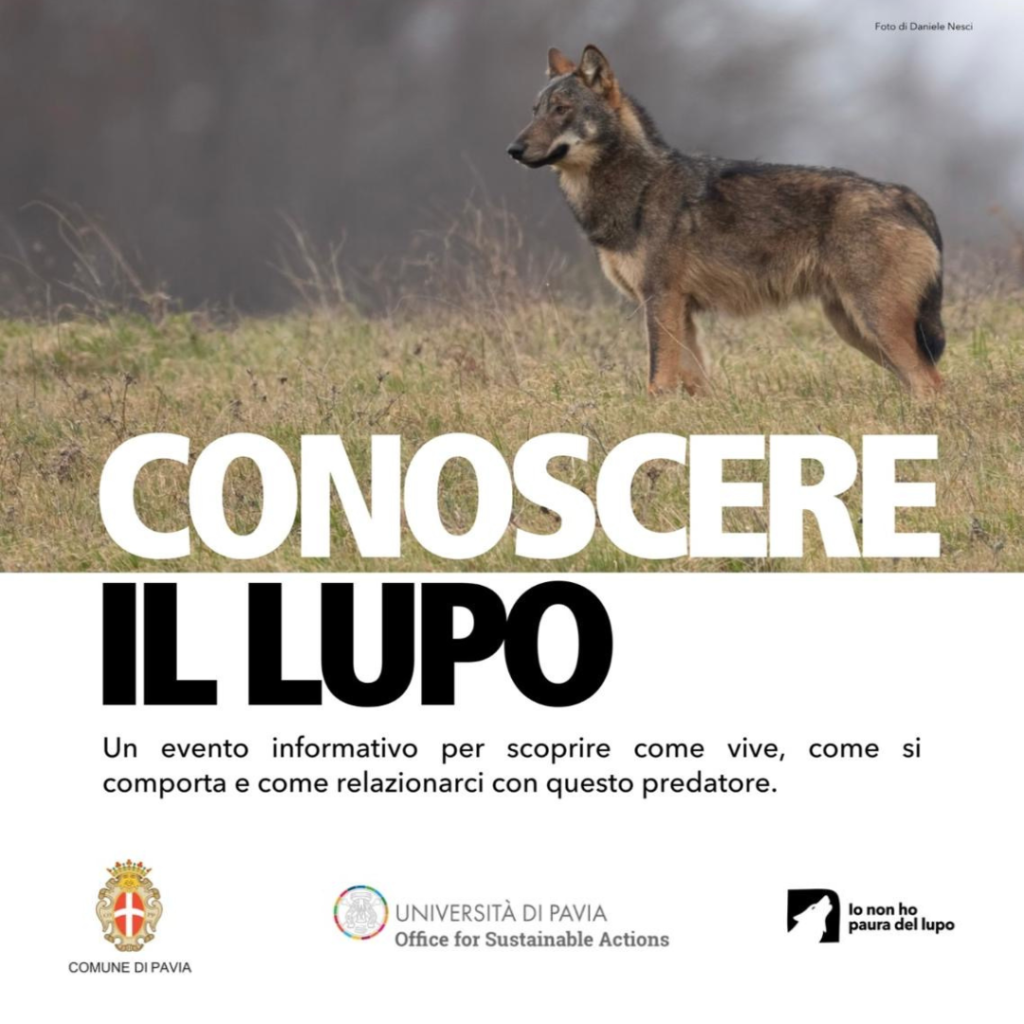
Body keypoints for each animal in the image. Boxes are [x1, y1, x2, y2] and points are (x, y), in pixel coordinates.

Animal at [507, 45, 946, 397]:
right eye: (534, 112)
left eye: (562, 110)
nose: (513, 149)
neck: (639, 187)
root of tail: (901, 193)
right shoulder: (680, 310)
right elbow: (693, 382)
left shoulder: (661, 299)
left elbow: (657, 378)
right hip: (854, 328)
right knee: (924, 381)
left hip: (875, 323)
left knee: (930, 382)